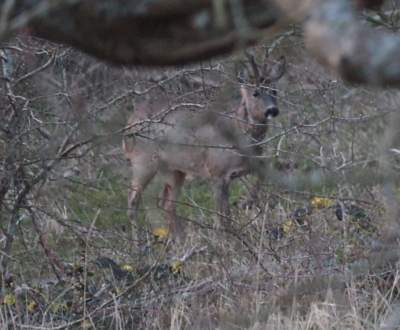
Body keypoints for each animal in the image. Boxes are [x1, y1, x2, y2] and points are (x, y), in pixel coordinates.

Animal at [122, 54, 284, 244]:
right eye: (256, 93)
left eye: (274, 91)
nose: (272, 110)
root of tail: (128, 124)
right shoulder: (217, 171)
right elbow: (222, 214)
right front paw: (226, 240)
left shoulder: (244, 167)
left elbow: (262, 174)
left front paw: (247, 203)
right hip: (143, 161)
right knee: (133, 201)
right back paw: (138, 243)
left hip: (175, 170)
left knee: (167, 204)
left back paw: (180, 241)